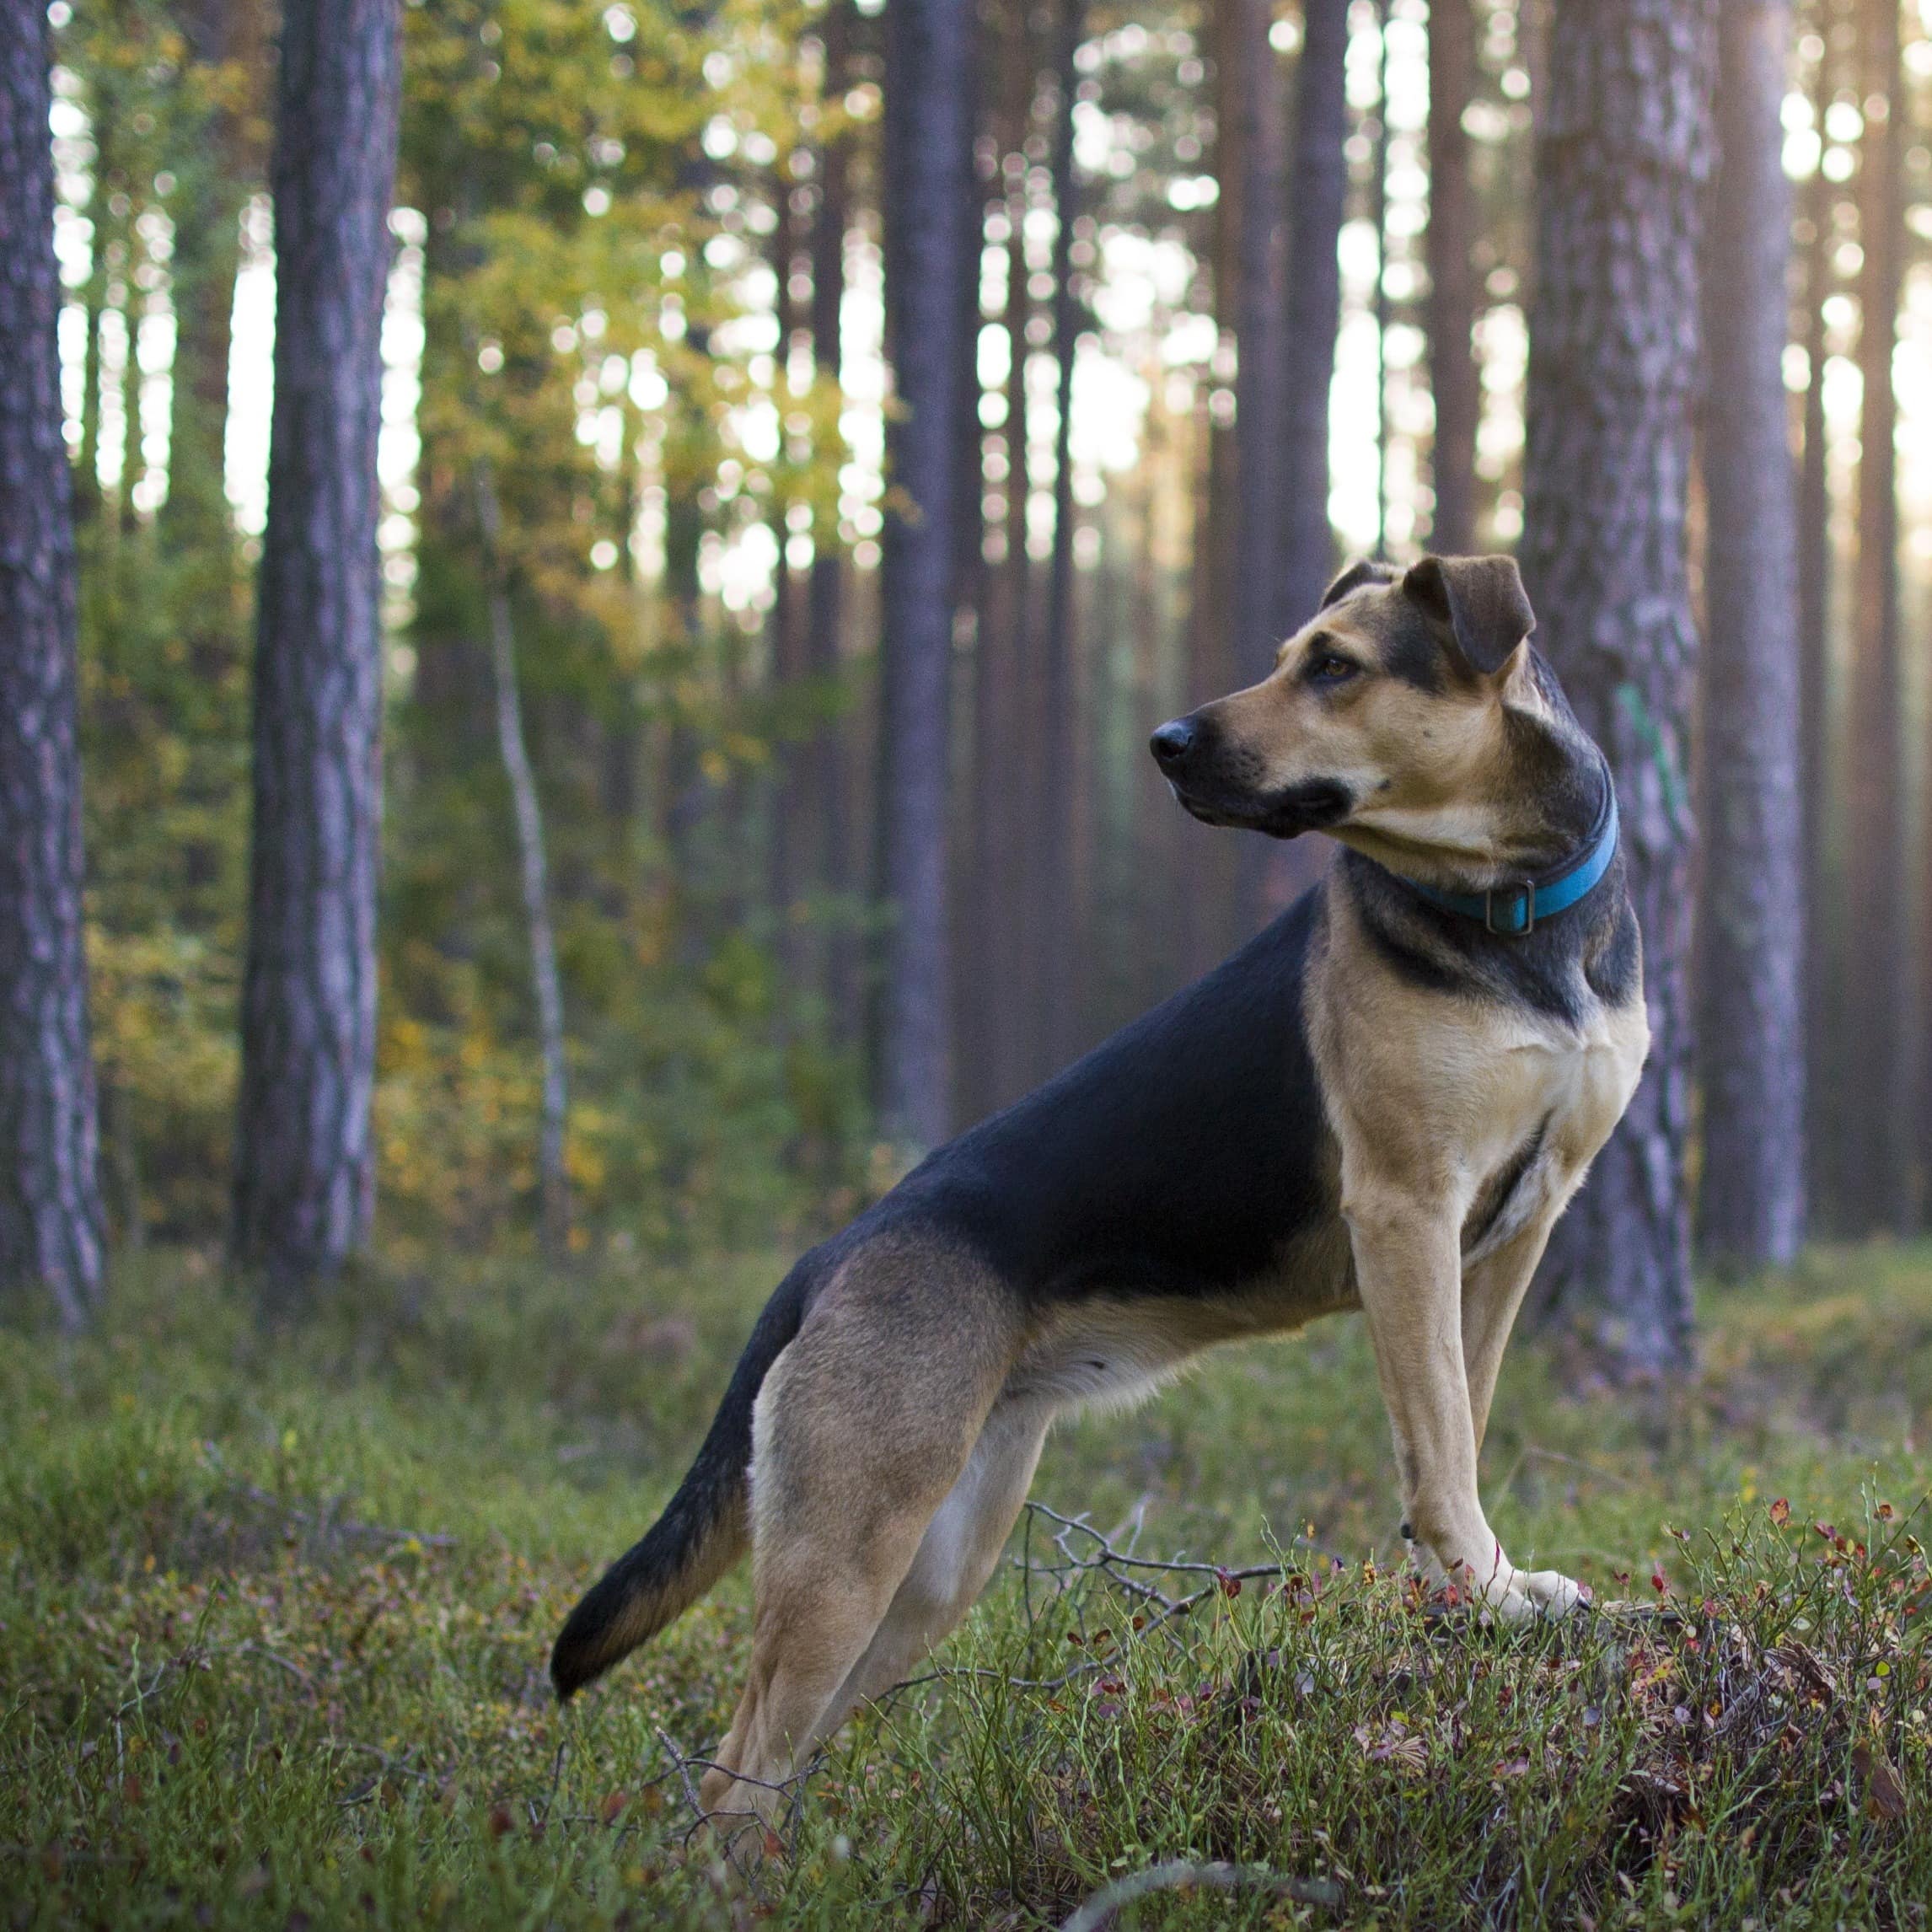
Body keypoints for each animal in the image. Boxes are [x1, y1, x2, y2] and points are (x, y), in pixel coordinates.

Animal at [552, 556, 1653, 1823]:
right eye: (1292, 658)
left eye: (1335, 666)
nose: (1165, 744)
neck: (1511, 907)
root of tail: (828, 1257)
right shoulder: (1407, 1208)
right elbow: (1439, 1447)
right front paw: (1484, 1593)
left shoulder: (1518, 1226)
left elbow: (1459, 1421)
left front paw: (1474, 1588)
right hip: (846, 1552)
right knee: (733, 1779)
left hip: (931, 1571)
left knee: (770, 1780)